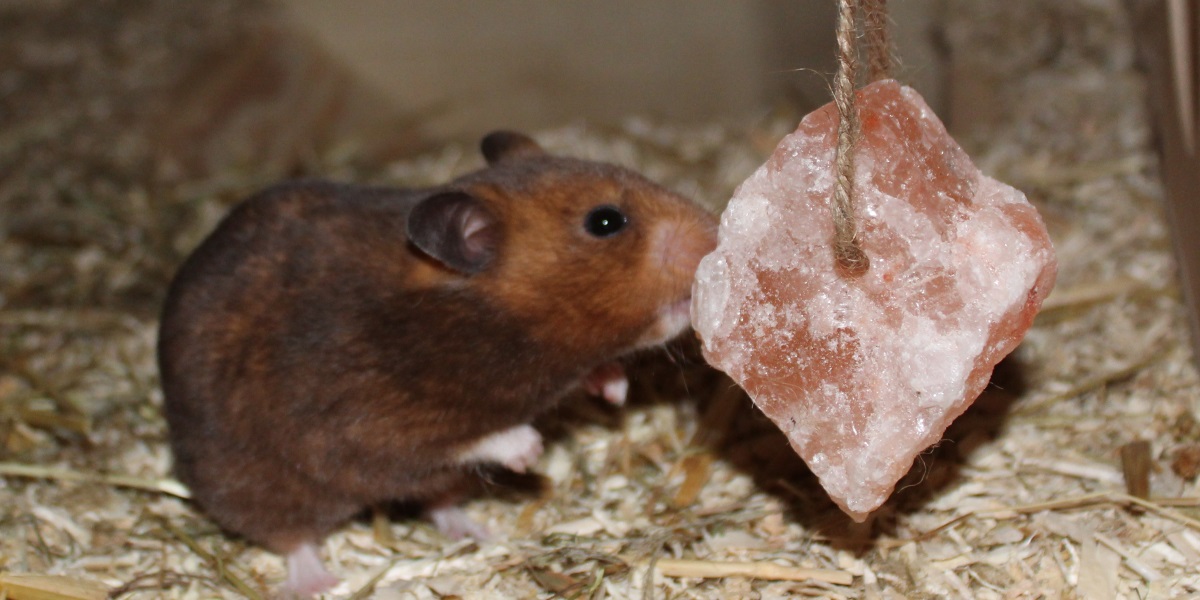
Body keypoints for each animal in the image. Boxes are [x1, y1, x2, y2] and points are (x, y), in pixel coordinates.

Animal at [157, 131, 717, 596]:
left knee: (438, 502)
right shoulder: (366, 420)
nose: (716, 234)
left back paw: (478, 532)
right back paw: (318, 583)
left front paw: (615, 390)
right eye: (605, 222)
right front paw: (530, 451)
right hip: (258, 486)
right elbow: (465, 437)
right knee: (293, 536)